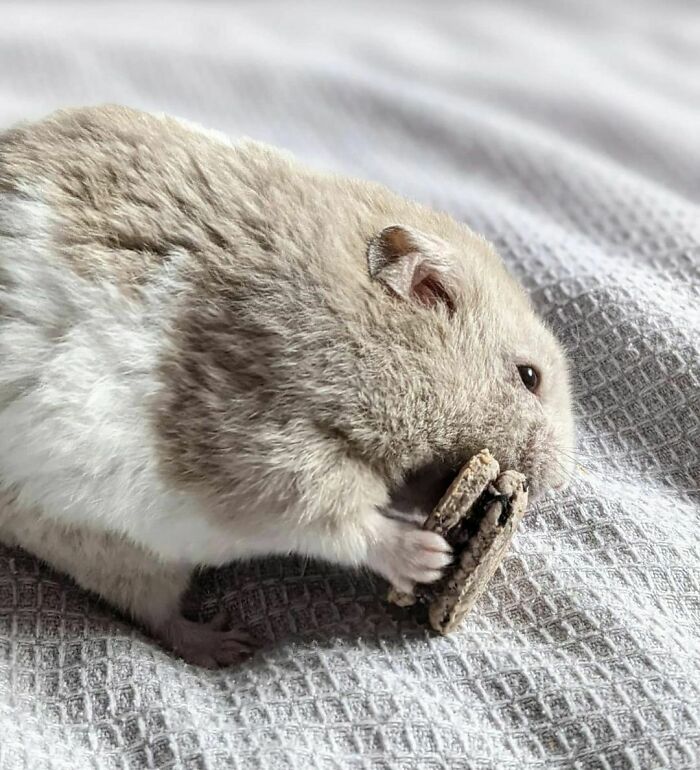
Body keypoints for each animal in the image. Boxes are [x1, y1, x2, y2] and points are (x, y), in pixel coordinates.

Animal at [0, 105, 574, 666]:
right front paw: (432, 557)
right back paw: (228, 646)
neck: (355, 333)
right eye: (529, 377)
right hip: (105, 545)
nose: (564, 479)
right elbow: (336, 518)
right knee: (154, 613)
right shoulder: (258, 441)